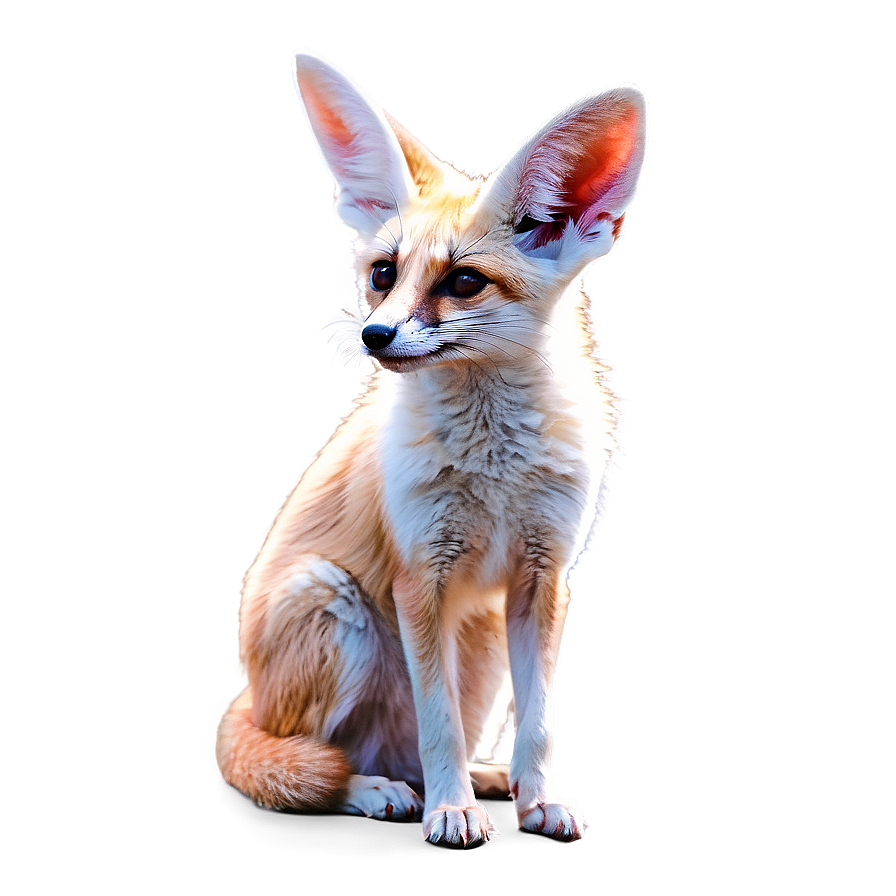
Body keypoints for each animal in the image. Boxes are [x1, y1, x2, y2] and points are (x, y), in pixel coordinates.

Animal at [217, 47, 649, 848]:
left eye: (464, 281)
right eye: (383, 274)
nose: (374, 335)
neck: (495, 466)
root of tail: (248, 698)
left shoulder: (544, 578)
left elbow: (538, 722)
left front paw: (538, 797)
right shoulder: (420, 578)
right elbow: (436, 723)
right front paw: (450, 812)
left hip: (481, 644)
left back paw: (488, 779)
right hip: (335, 603)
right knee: (306, 762)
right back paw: (380, 791)